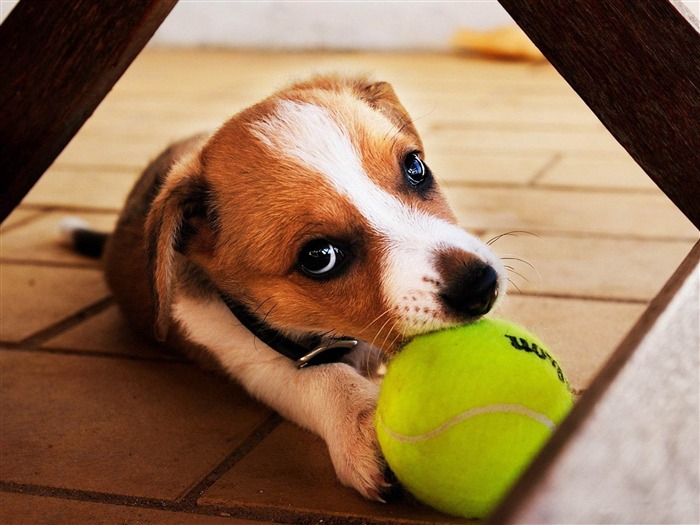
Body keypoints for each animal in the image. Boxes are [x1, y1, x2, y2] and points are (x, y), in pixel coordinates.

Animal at [65, 77, 506, 500]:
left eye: (416, 167)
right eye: (319, 257)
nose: (480, 286)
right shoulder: (253, 361)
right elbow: (324, 377)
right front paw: (363, 421)